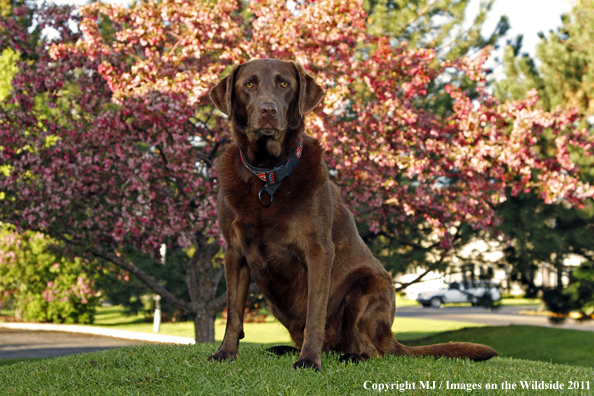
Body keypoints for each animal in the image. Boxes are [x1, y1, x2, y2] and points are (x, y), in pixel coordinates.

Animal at [206, 59, 498, 372]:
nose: (268, 110)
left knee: (374, 350)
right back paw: (284, 349)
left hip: (367, 290)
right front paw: (225, 353)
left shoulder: (318, 251)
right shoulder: (234, 251)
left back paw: (352, 356)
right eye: (249, 84)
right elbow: (233, 312)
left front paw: (309, 360)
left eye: (284, 83)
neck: (268, 176)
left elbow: (315, 313)